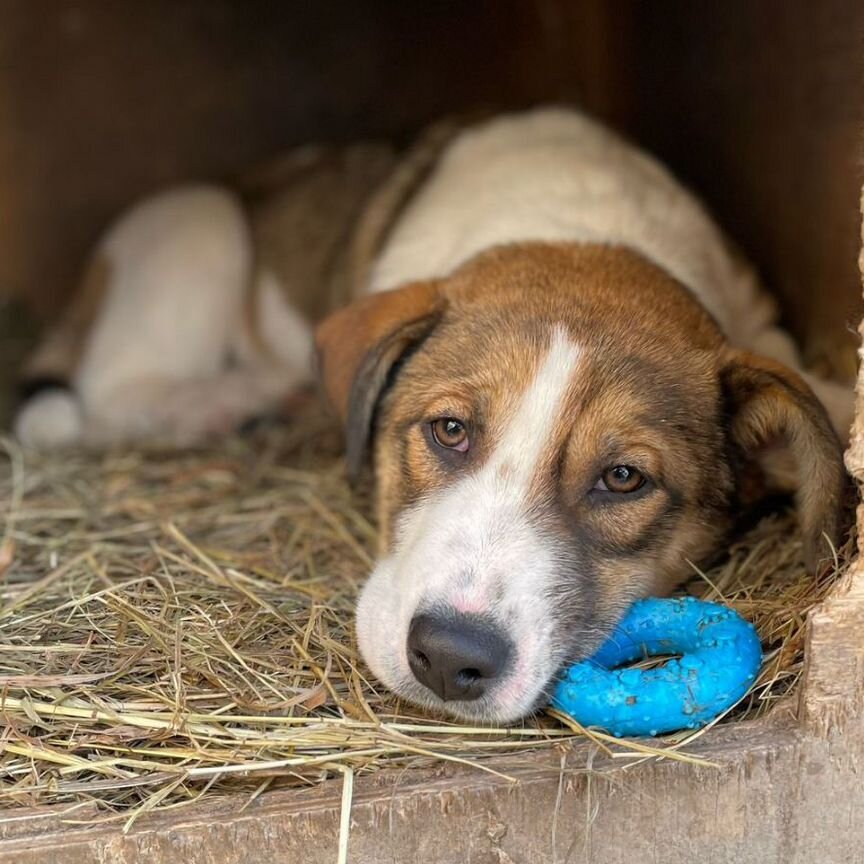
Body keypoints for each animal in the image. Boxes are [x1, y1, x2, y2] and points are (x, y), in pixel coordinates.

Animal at [13, 106, 852, 724]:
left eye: (623, 479)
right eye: (450, 431)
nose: (449, 659)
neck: (583, 226)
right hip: (199, 230)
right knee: (110, 396)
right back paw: (234, 401)